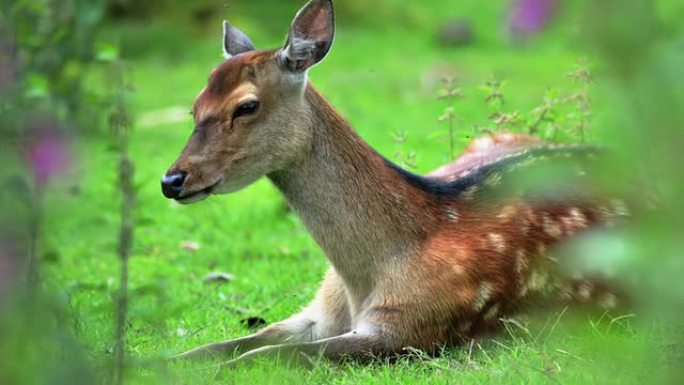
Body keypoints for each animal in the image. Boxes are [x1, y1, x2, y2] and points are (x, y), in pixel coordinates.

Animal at [162, 0, 624, 368]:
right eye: (194, 107)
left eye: (247, 106)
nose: (172, 179)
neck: (363, 280)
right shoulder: (317, 310)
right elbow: (220, 347)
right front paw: (155, 360)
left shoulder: (412, 327)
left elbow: (264, 357)